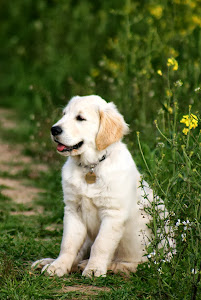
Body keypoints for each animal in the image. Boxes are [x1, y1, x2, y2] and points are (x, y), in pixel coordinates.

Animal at [31, 95, 170, 278]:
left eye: (80, 118)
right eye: (64, 114)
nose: (54, 130)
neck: (91, 166)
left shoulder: (113, 214)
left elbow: (101, 245)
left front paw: (94, 269)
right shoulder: (73, 210)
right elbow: (68, 244)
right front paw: (58, 266)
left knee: (139, 265)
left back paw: (101, 266)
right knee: (80, 253)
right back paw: (50, 262)